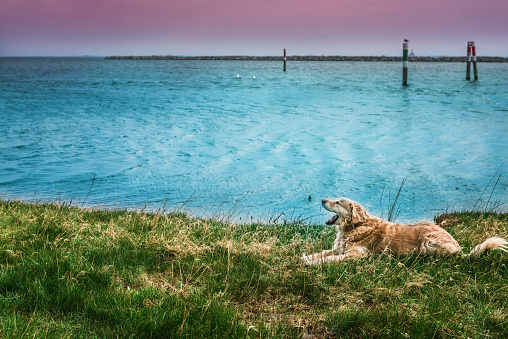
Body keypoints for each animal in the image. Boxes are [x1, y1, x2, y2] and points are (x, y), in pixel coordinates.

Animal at [304, 198, 506, 266]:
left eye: (338, 202)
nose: (322, 199)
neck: (354, 226)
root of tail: (458, 247)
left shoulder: (355, 255)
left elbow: (330, 258)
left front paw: (312, 263)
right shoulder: (340, 248)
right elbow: (324, 253)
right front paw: (306, 257)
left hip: (428, 242)